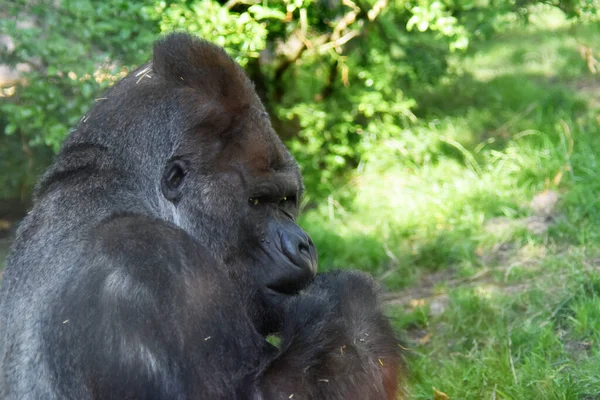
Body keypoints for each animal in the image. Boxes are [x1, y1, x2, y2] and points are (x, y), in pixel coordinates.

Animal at [1, 32, 404, 398]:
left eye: (286, 201)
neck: (116, 190)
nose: (302, 243)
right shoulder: (156, 258)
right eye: (257, 202)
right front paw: (342, 295)